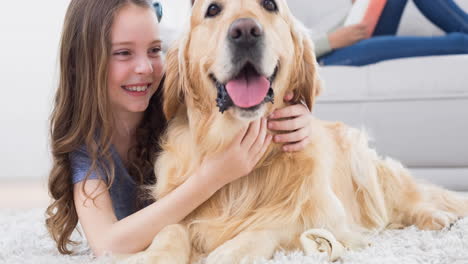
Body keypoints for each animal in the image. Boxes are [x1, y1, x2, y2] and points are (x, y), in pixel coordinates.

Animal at [123, 0, 468, 262]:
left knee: (407, 200)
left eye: (270, 5)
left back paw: (436, 217)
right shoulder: (175, 207)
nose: (245, 31)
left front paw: (227, 252)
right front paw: (155, 256)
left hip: (365, 165)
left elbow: (266, 228)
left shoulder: (325, 216)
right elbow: (168, 230)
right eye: (212, 9)